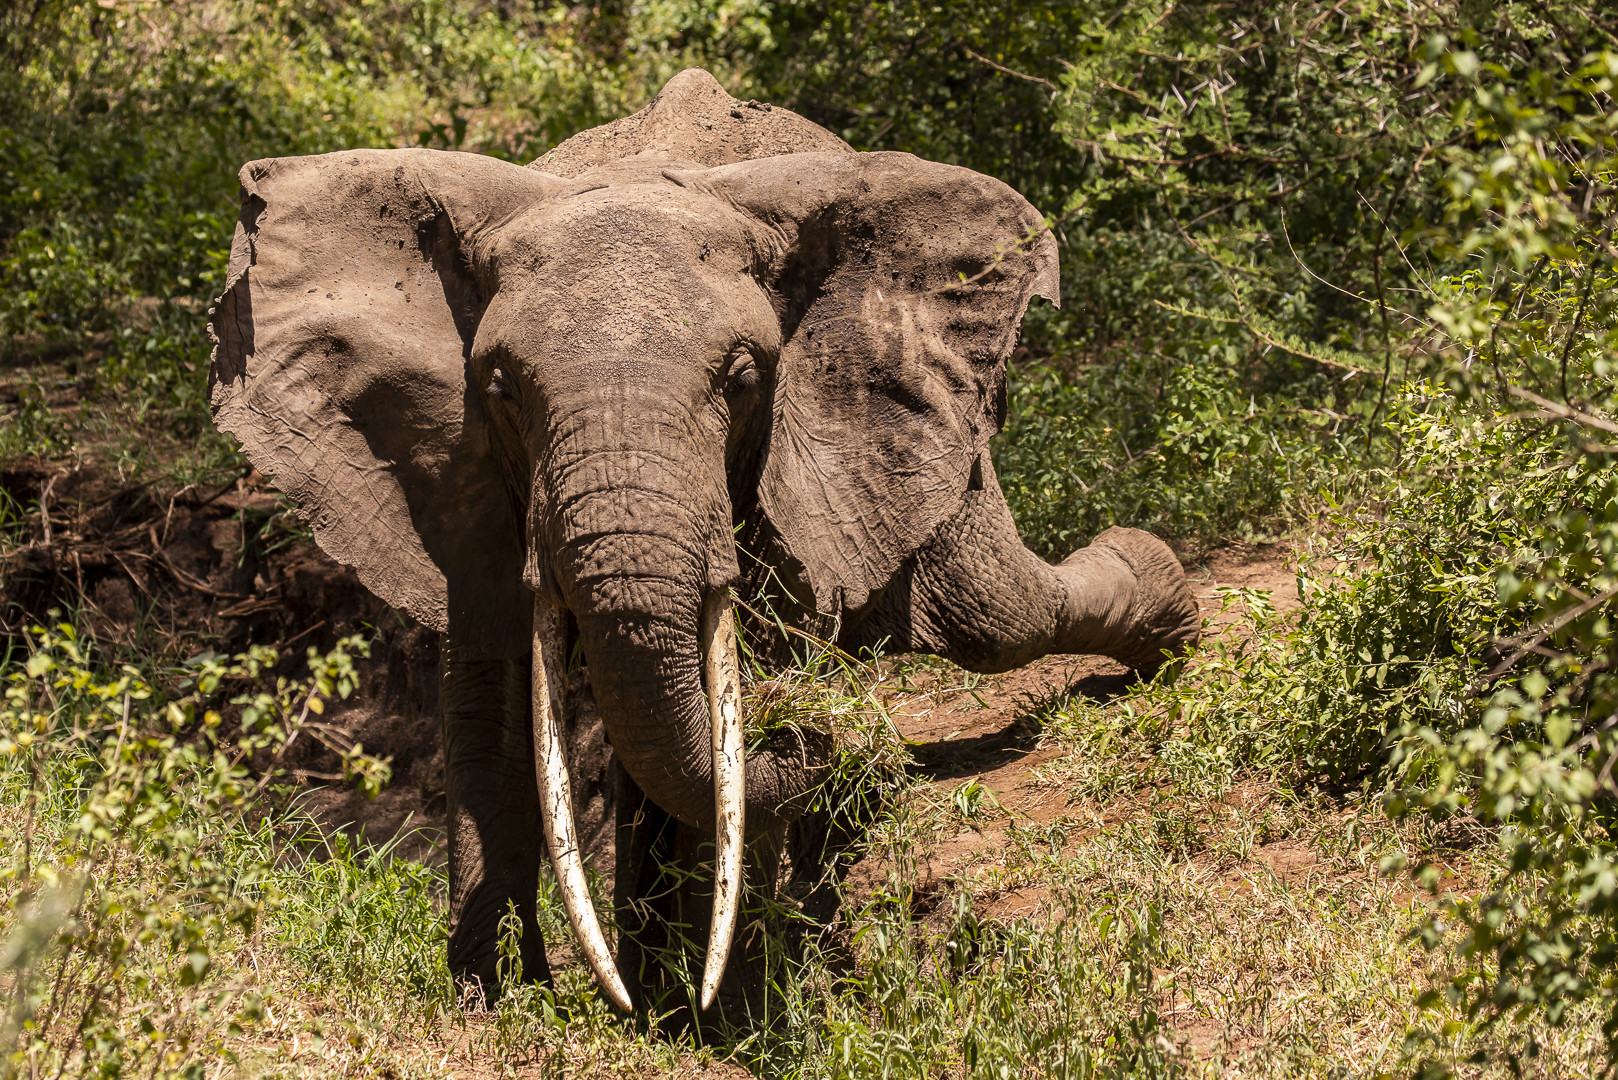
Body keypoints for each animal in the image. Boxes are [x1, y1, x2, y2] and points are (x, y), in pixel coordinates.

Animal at [205, 69, 1203, 1023]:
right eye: (500, 389)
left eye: (743, 378)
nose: (826, 734)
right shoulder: (460, 486)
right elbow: (491, 706)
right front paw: (500, 1008)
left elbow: (736, 696)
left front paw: (729, 1017)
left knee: (988, 612)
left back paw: (1168, 620)